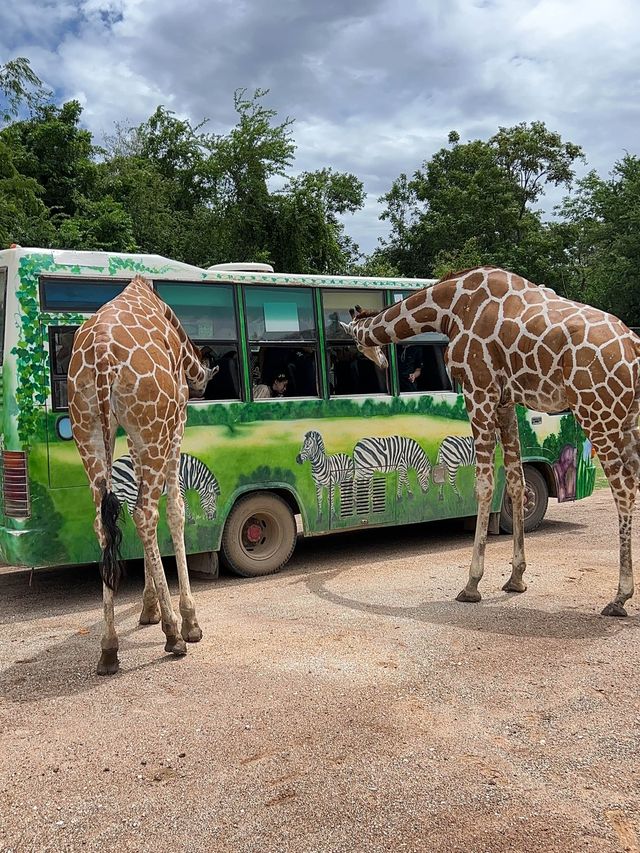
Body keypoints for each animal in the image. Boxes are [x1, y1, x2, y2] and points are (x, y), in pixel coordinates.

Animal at [67, 276, 218, 676]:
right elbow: (176, 510)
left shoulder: (135, 439)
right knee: (145, 513)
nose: (201, 387)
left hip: (88, 428)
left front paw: (148, 608)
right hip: (152, 427)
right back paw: (175, 635)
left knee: (104, 522)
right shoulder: (175, 424)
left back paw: (108, 649)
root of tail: (102, 359)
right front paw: (187, 620)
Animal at [342, 264, 640, 612]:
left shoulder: (479, 389)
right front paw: (516, 578)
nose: (382, 361)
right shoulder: (505, 401)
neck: (448, 307)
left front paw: (471, 584)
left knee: (623, 488)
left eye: (355, 342)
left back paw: (619, 597)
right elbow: (516, 483)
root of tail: (634, 346)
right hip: (628, 418)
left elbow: (484, 486)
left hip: (597, 411)